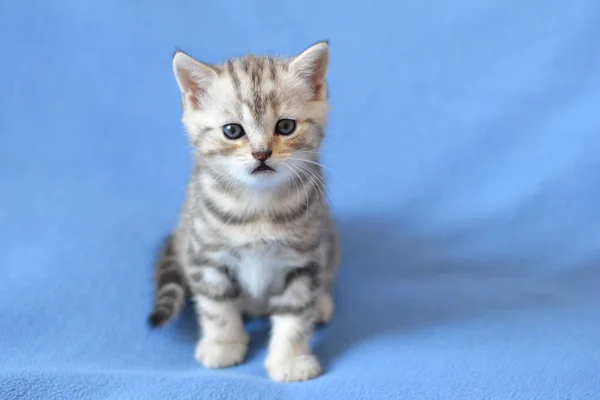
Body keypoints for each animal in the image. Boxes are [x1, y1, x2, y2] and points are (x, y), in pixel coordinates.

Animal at [148, 42, 340, 382]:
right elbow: (217, 308)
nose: (261, 153)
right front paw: (224, 345)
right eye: (232, 130)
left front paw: (290, 359)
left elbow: (295, 315)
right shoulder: (206, 256)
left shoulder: (304, 262)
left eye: (285, 126)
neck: (258, 207)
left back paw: (321, 304)